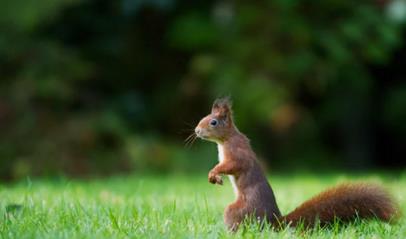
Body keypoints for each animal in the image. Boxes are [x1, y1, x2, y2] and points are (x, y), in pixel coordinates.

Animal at [195, 97, 398, 232]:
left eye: (213, 122)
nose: (196, 131)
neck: (225, 140)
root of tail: (275, 222)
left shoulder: (237, 154)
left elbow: (232, 165)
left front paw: (213, 173)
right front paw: (214, 176)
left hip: (239, 210)